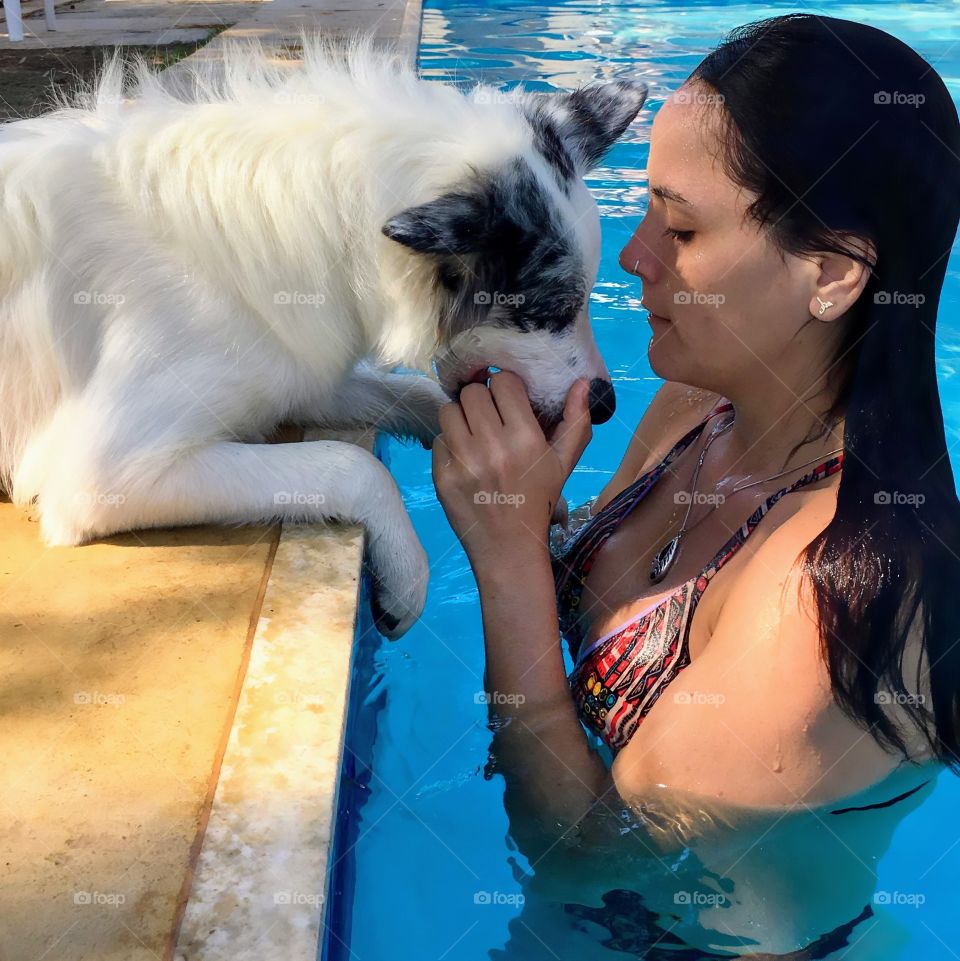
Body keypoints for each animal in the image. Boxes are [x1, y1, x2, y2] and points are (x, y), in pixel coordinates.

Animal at [0, 33, 648, 636]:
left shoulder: (297, 372)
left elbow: (417, 397)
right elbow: (351, 464)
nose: (604, 404)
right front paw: (406, 577)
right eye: (555, 309)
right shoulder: (102, 478)